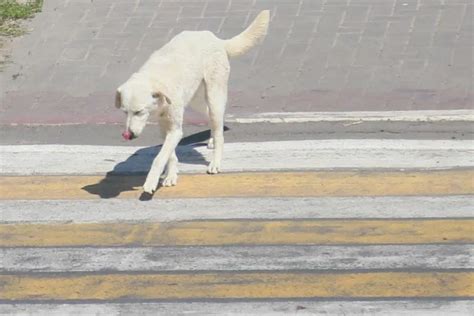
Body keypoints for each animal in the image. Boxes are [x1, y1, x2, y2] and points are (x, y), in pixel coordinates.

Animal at [115, 9, 270, 194]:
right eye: (125, 112)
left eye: (139, 112)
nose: (128, 135)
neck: (154, 77)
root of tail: (216, 39)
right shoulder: (166, 127)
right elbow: (169, 155)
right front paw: (171, 175)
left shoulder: (174, 129)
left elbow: (160, 158)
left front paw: (151, 181)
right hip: (197, 102)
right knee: (214, 122)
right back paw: (211, 139)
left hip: (214, 97)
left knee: (219, 132)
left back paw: (215, 162)